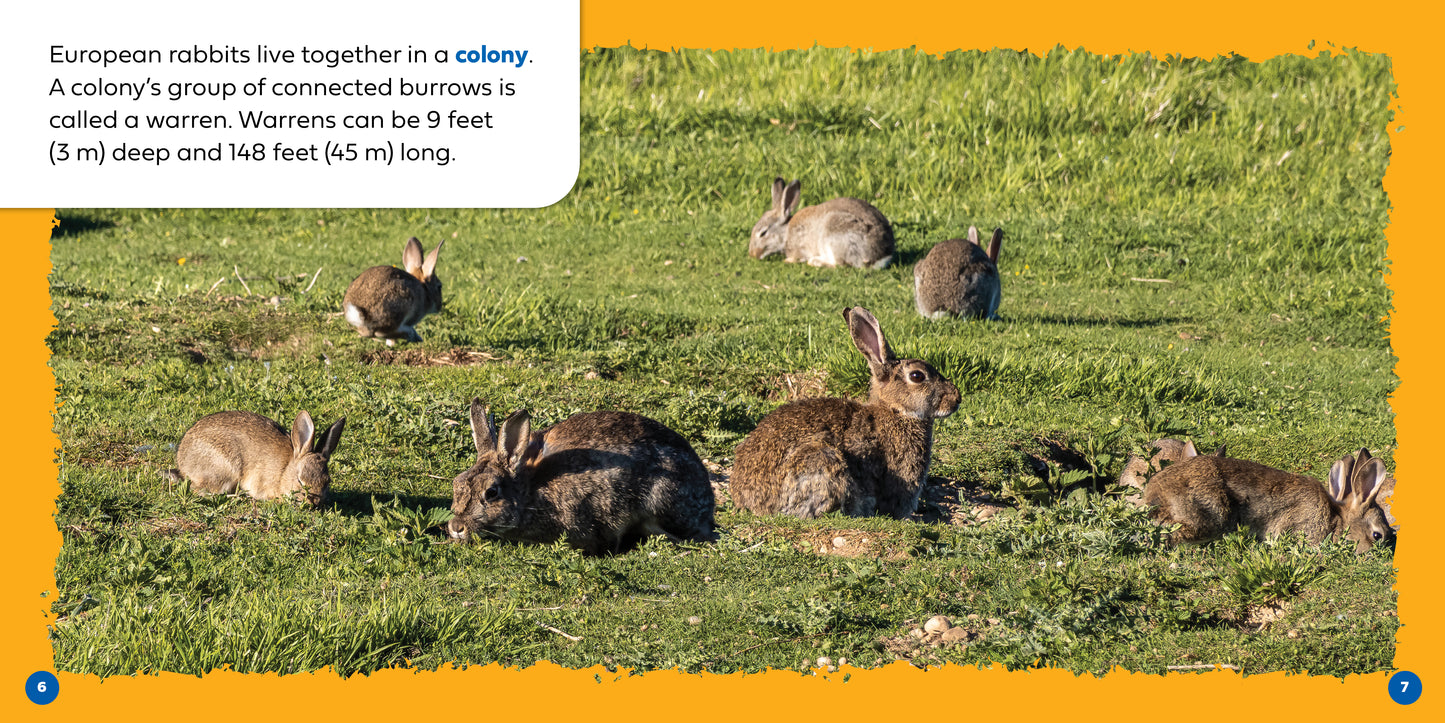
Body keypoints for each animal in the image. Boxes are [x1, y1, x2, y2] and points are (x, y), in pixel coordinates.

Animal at [165, 410, 346, 507]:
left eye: (327, 481)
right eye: (300, 481)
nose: (314, 502)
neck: (285, 471)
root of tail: (183, 463)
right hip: (223, 469)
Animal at [749, 178, 895, 269]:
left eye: (763, 233)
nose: (752, 254)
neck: (785, 233)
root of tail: (882, 255)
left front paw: (788, 260)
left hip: (835, 235)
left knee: (840, 264)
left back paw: (815, 262)